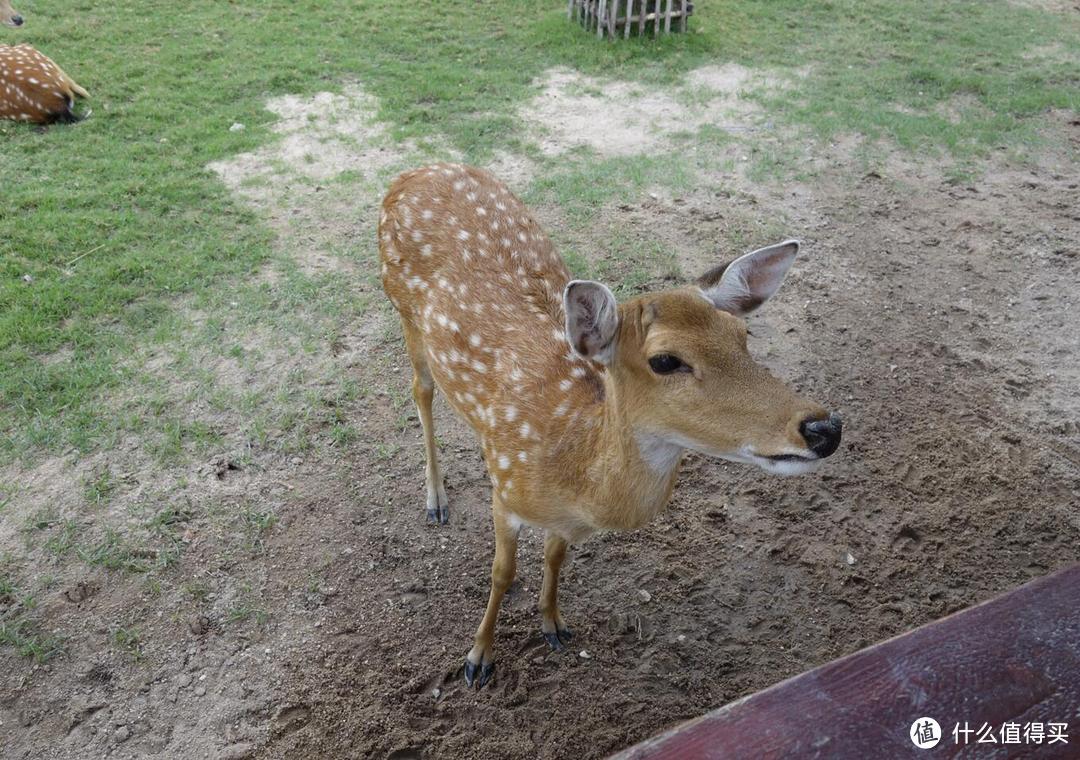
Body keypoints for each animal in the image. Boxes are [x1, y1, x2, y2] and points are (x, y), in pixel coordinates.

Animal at [380, 166, 842, 690]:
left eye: (742, 335)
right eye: (665, 360)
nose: (824, 428)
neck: (575, 473)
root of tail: (412, 173)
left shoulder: (561, 519)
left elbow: (554, 556)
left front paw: (554, 624)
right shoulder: (504, 485)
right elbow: (501, 571)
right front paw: (478, 658)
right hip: (401, 307)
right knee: (420, 390)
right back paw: (435, 499)